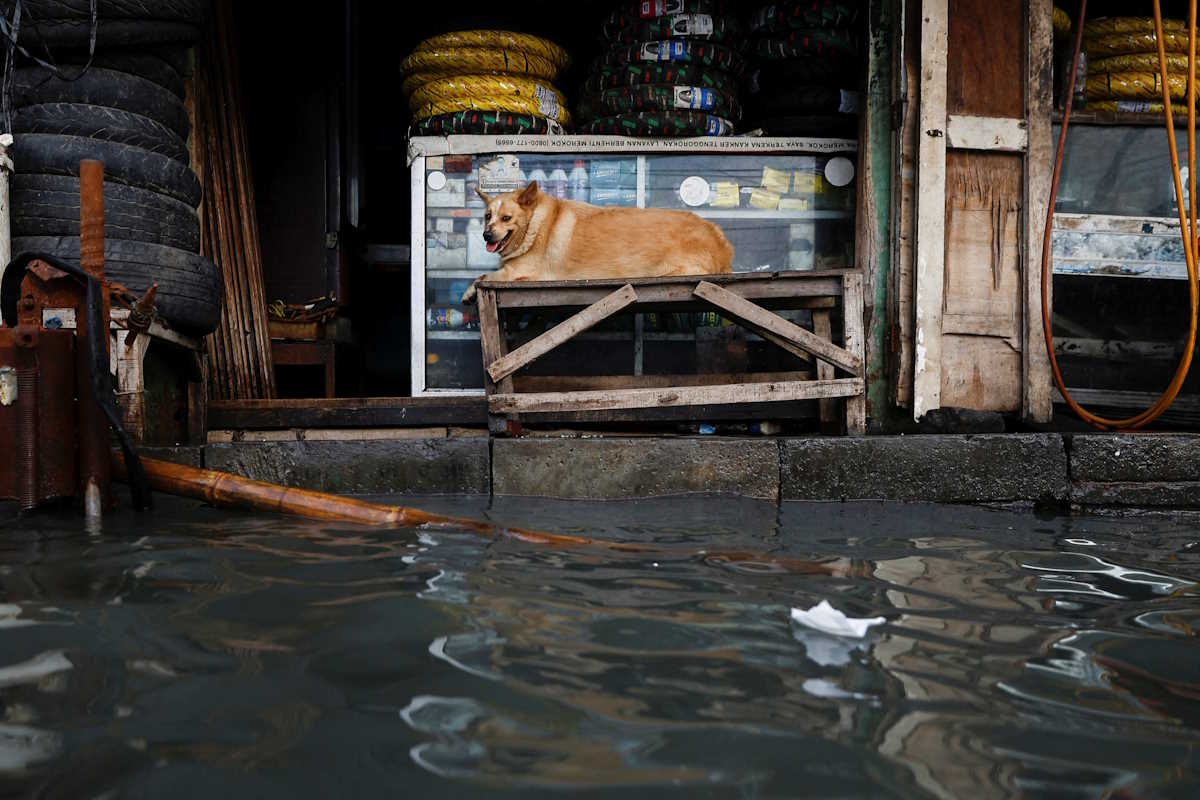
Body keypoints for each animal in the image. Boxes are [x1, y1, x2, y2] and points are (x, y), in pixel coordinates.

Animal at [458, 181, 729, 303]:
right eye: (487, 217)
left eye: (506, 218)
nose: (486, 235)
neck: (534, 224)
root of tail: (719, 238)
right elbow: (485, 275)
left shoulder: (517, 272)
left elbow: (484, 276)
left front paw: (469, 290)